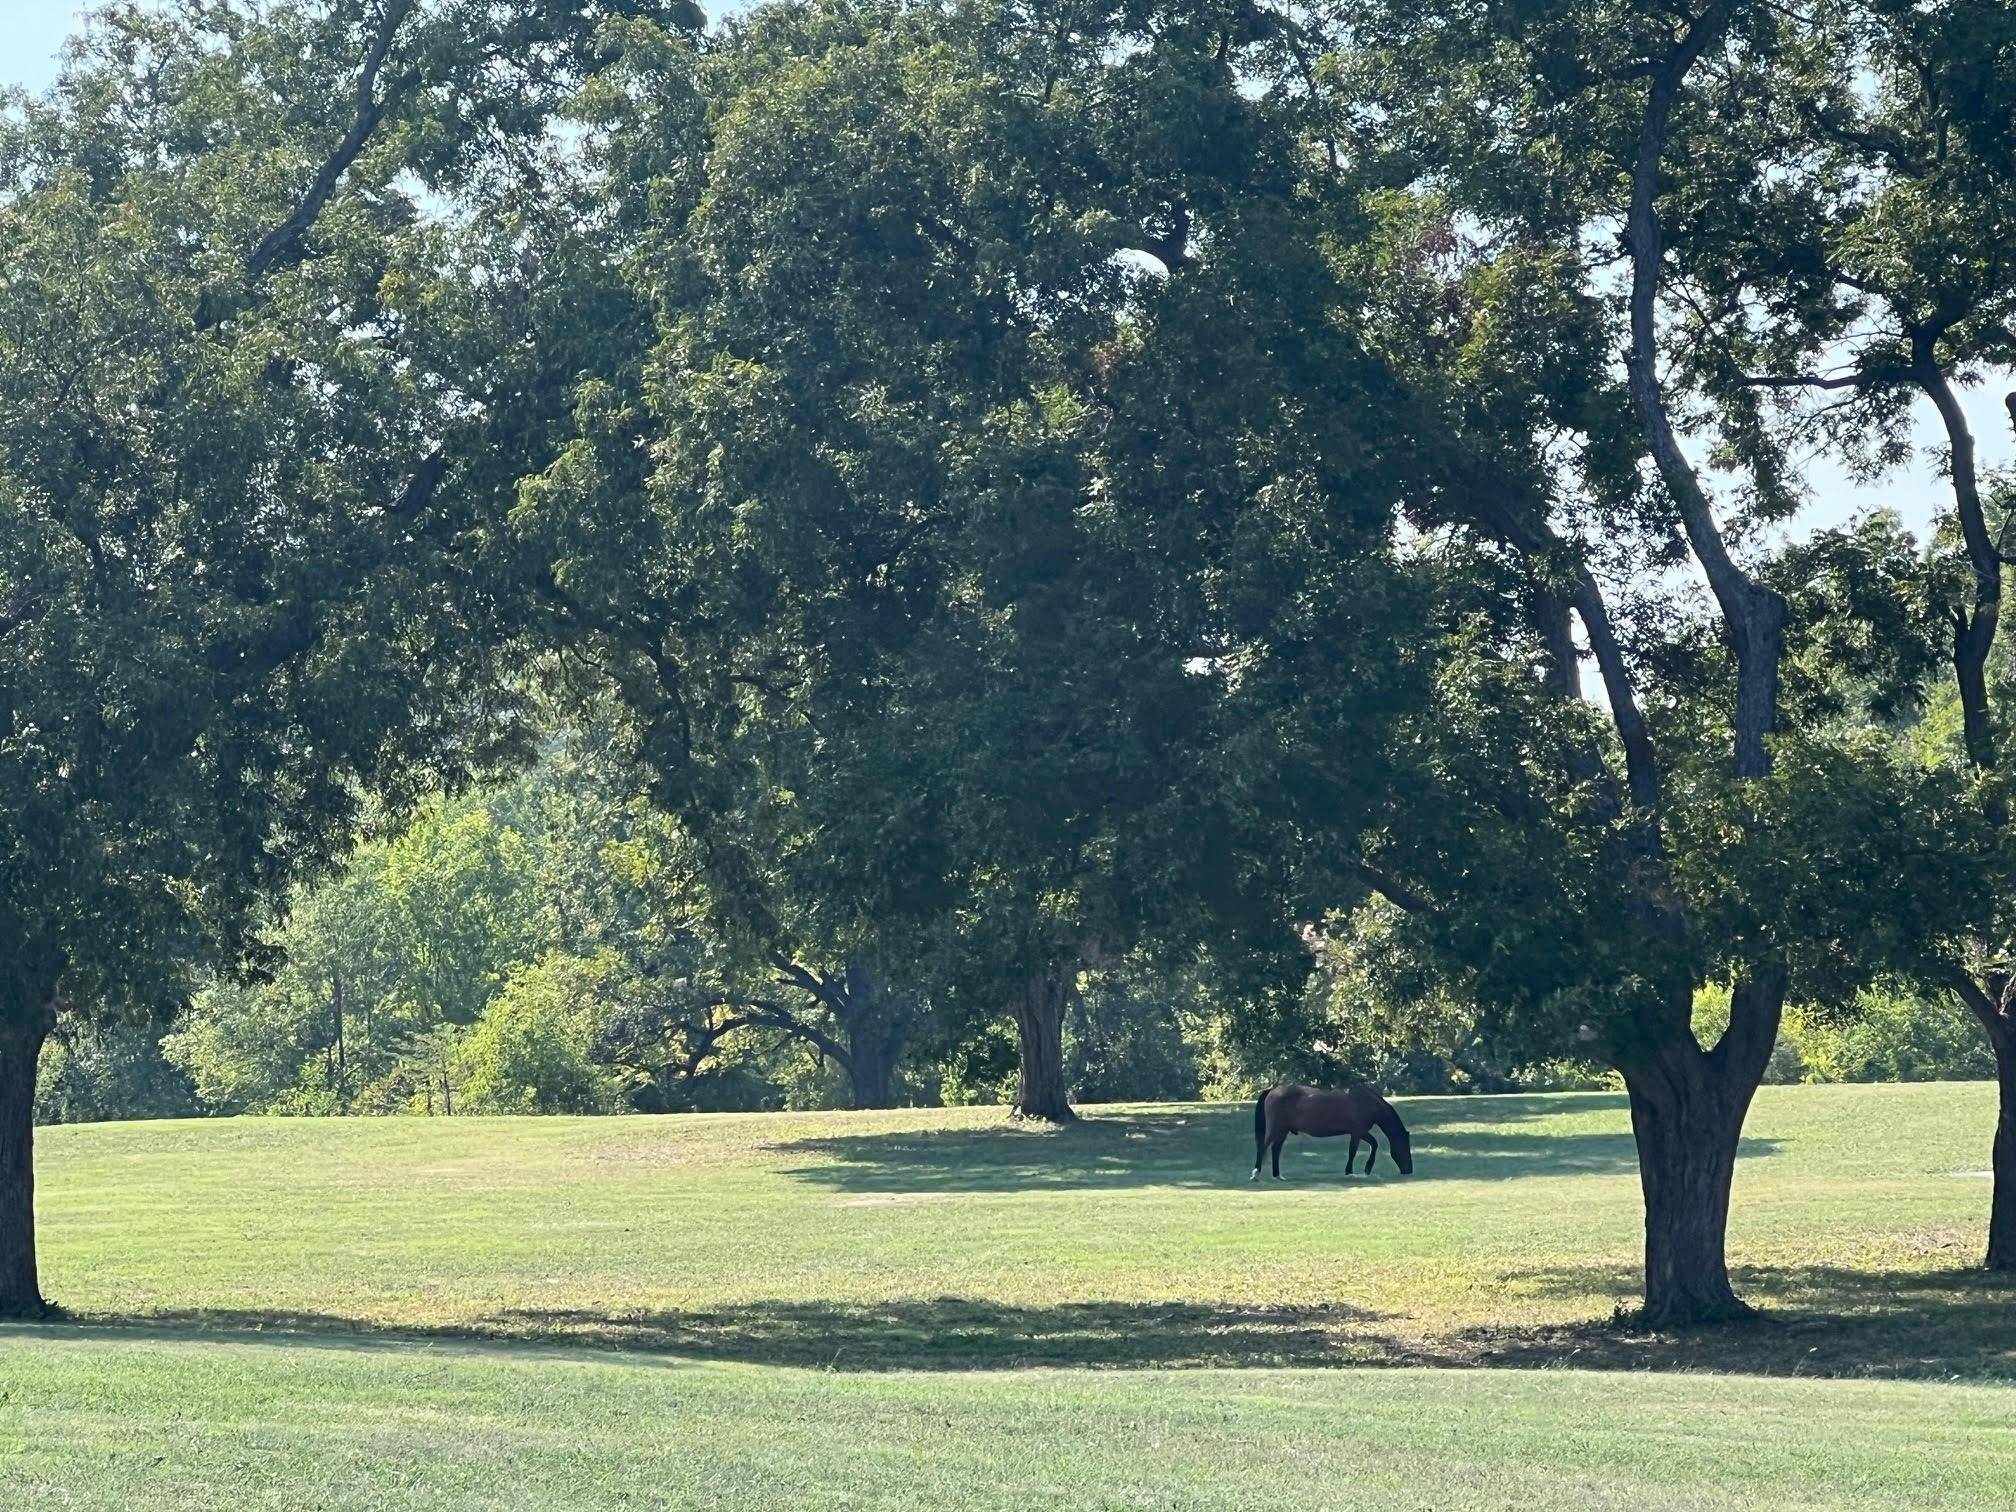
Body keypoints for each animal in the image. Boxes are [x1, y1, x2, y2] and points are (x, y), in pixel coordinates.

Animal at [1241, 1088, 1419, 1185]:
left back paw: (1278, 1175)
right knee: (1264, 1147)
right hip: (1275, 1129)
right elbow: (1361, 1149)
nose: (1409, 1170)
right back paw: (1256, 1174)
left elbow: (1365, 1147)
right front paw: (1358, 1170)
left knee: (1275, 1150)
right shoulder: (1358, 1132)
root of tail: (1272, 1090)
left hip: (1282, 1131)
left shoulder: (1357, 1133)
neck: (1366, 1102)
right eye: (1404, 1148)